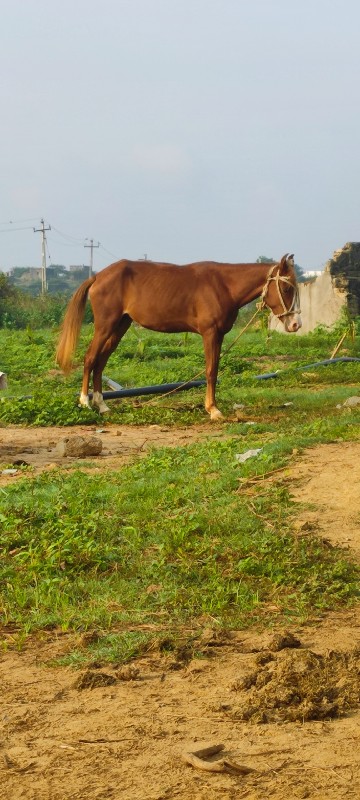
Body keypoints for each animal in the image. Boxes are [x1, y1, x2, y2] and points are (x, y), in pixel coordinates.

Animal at [55, 255, 300, 418]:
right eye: (287, 289)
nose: (296, 324)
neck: (223, 286)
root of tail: (97, 277)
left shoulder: (219, 335)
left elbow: (214, 370)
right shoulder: (209, 333)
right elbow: (211, 371)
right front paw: (213, 409)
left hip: (120, 325)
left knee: (101, 361)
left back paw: (102, 404)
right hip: (106, 325)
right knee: (90, 358)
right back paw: (85, 401)